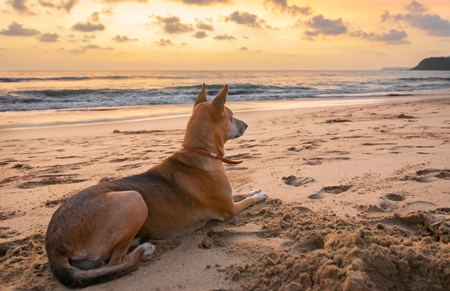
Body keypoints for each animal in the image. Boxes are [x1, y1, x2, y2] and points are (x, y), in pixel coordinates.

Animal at [46, 83, 268, 288]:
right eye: (231, 116)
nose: (246, 125)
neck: (199, 151)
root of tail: (54, 245)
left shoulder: (228, 198)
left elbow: (241, 193)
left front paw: (254, 189)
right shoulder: (229, 210)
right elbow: (247, 200)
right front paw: (258, 196)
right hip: (135, 198)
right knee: (115, 262)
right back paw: (144, 250)